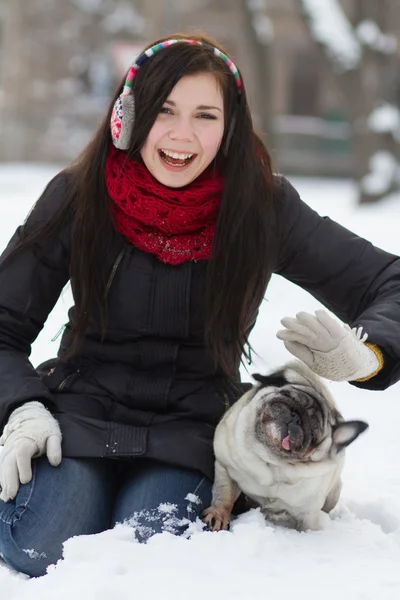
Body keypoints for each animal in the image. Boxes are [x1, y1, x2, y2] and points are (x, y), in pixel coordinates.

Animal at [203, 358, 368, 532]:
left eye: (314, 434)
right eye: (286, 397)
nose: (296, 418)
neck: (270, 463)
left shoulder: (308, 515)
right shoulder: (225, 467)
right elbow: (224, 495)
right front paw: (219, 514)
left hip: (333, 494)